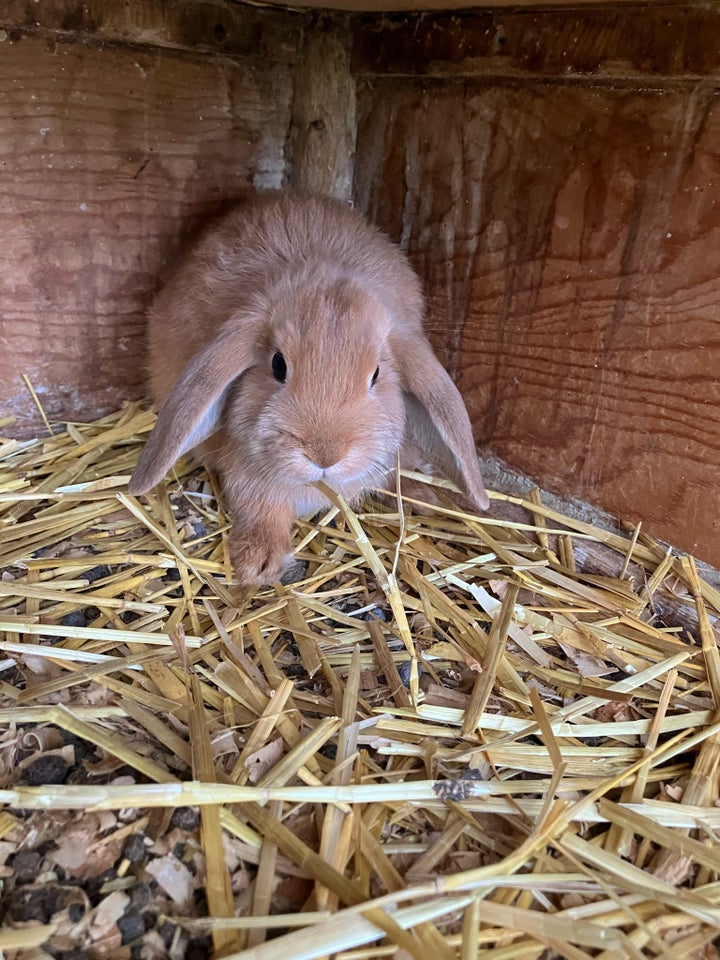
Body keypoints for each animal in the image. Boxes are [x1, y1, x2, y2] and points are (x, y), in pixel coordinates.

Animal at [129, 191, 490, 584]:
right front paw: (259, 563)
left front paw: (422, 495)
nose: (324, 455)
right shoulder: (250, 478)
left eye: (376, 374)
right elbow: (260, 511)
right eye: (278, 365)